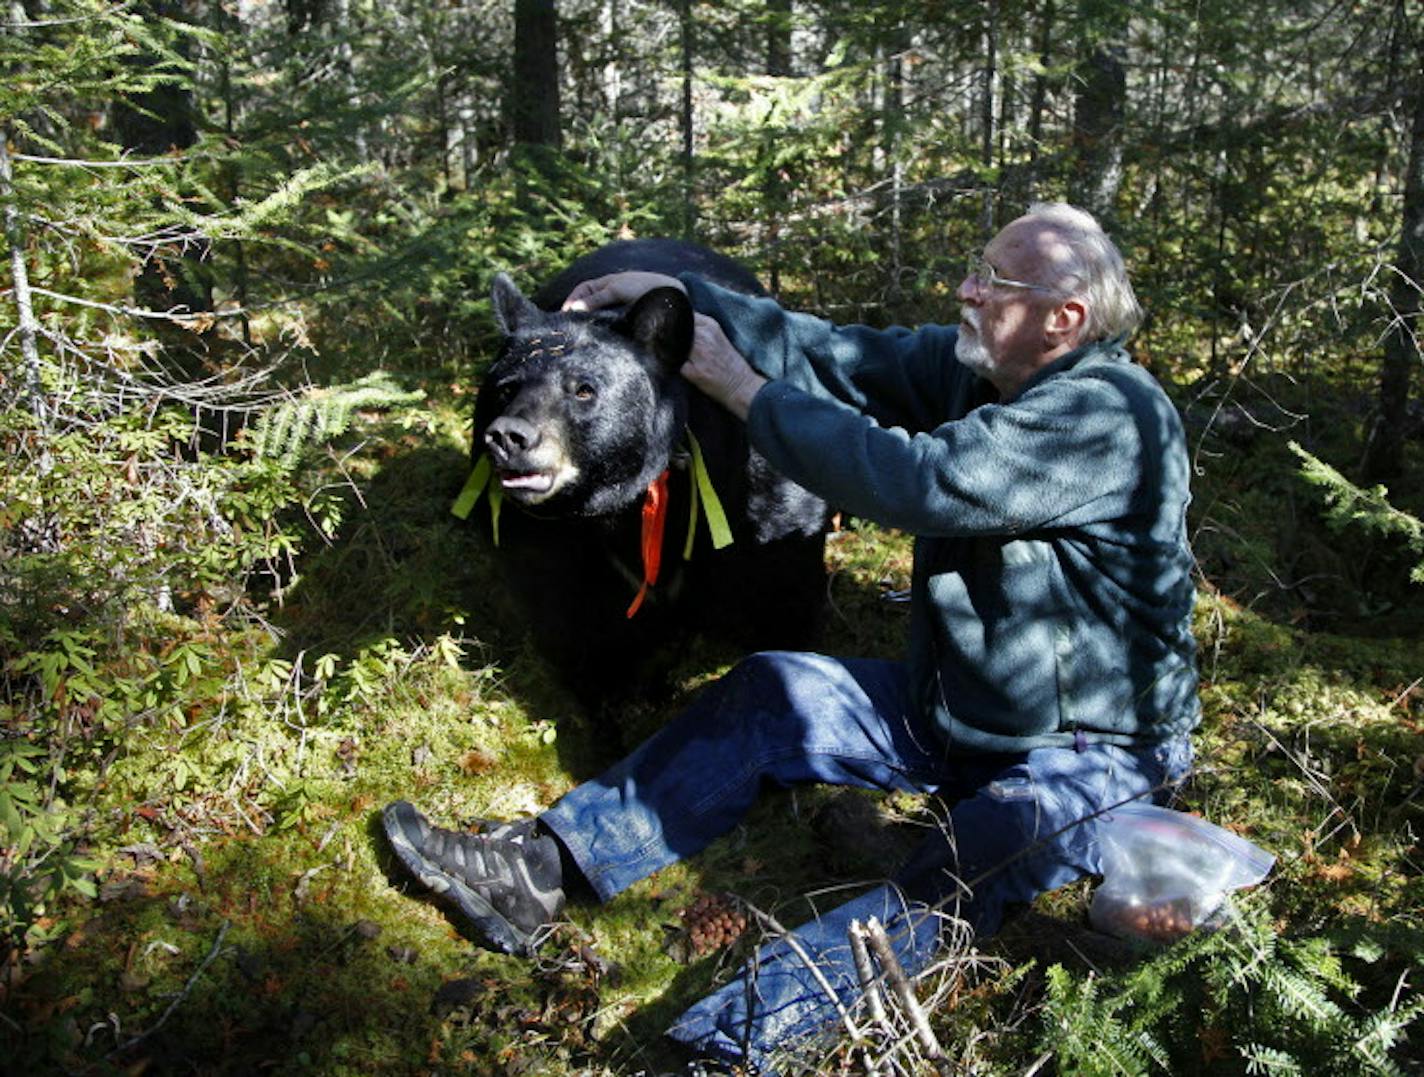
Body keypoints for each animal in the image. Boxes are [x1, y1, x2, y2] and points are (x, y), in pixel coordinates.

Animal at [455, 239, 831, 703]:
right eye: (506, 388)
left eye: (584, 389)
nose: (507, 436)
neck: (626, 505)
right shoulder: (553, 553)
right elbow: (581, 639)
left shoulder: (763, 515)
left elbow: (783, 604)